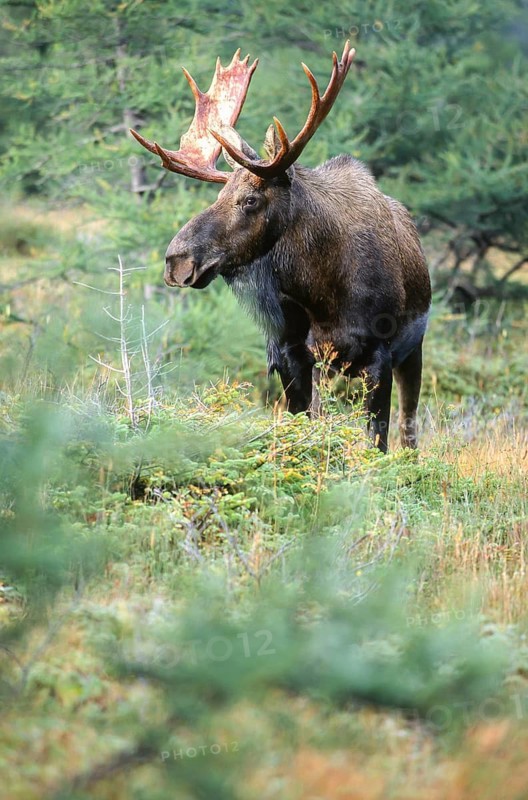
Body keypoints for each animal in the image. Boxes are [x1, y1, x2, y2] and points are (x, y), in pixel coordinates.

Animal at [131, 43, 431, 452]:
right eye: (219, 195)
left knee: (409, 428)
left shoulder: (380, 356)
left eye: (251, 200)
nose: (176, 260)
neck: (323, 294)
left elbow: (378, 441)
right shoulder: (290, 355)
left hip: (413, 350)